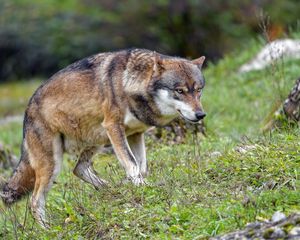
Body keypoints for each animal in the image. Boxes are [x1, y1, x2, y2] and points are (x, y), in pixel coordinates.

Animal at [0, 48, 205, 227]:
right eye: (180, 91)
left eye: (198, 90)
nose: (201, 114)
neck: (129, 84)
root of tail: (27, 109)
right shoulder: (114, 127)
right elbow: (132, 163)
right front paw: (141, 186)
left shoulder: (135, 134)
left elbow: (141, 167)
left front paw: (139, 185)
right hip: (54, 164)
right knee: (35, 202)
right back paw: (48, 230)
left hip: (98, 139)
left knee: (79, 168)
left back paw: (111, 188)